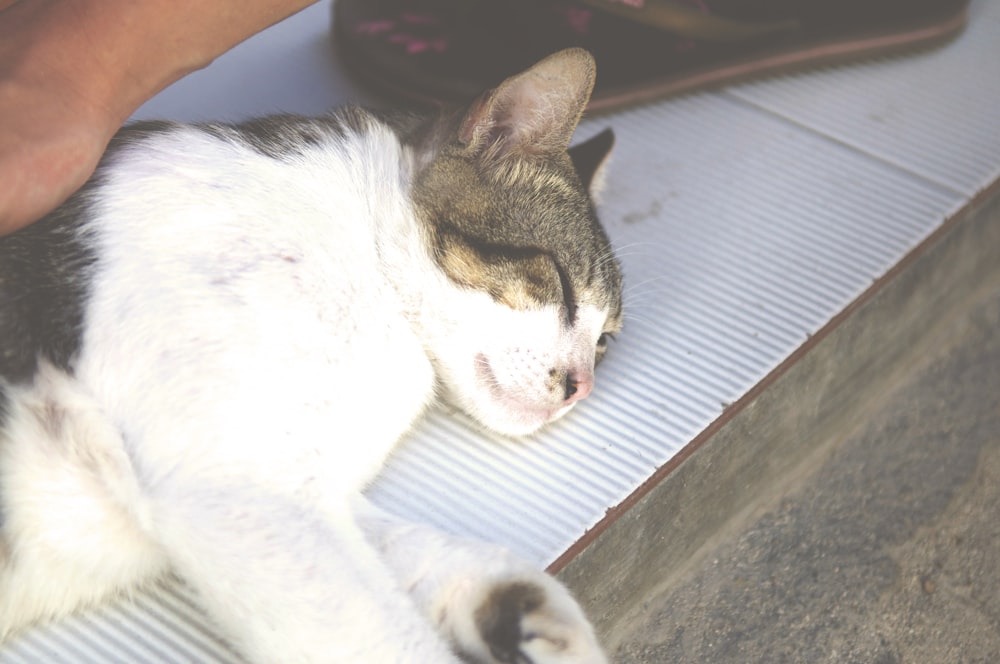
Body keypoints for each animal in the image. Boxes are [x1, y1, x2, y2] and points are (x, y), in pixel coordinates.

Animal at [0, 48, 620, 664]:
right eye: (560, 282)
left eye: (605, 341)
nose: (582, 386)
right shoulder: (238, 486)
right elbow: (381, 635)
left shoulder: (302, 484)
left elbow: (413, 552)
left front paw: (522, 611)